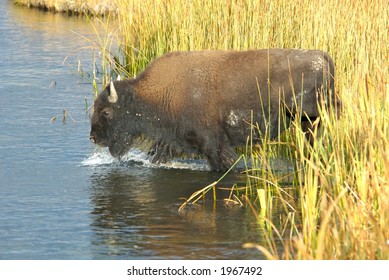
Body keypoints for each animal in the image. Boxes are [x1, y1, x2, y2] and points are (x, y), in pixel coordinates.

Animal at [88, 49, 336, 172]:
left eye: (106, 112)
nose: (93, 138)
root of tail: (322, 57)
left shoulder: (213, 143)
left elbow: (224, 163)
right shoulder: (170, 141)